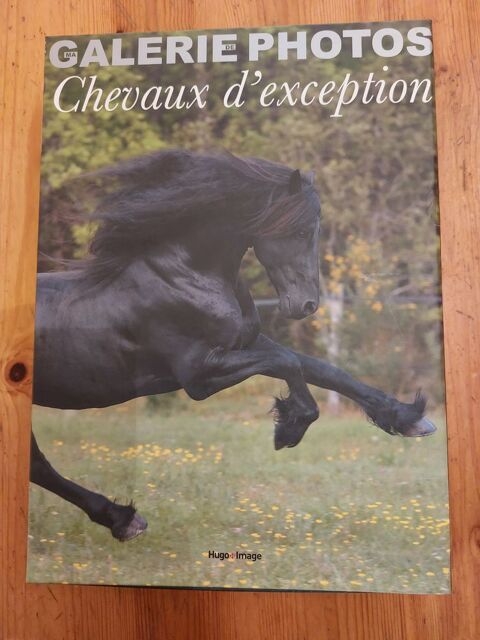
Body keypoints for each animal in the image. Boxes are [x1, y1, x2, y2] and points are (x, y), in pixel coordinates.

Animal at [30, 149, 436, 542]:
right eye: (302, 230)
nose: (307, 305)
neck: (186, 275)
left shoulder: (245, 342)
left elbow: (322, 368)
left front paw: (409, 419)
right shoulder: (198, 376)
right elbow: (289, 363)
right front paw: (290, 426)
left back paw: (121, 519)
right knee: (39, 466)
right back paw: (124, 520)